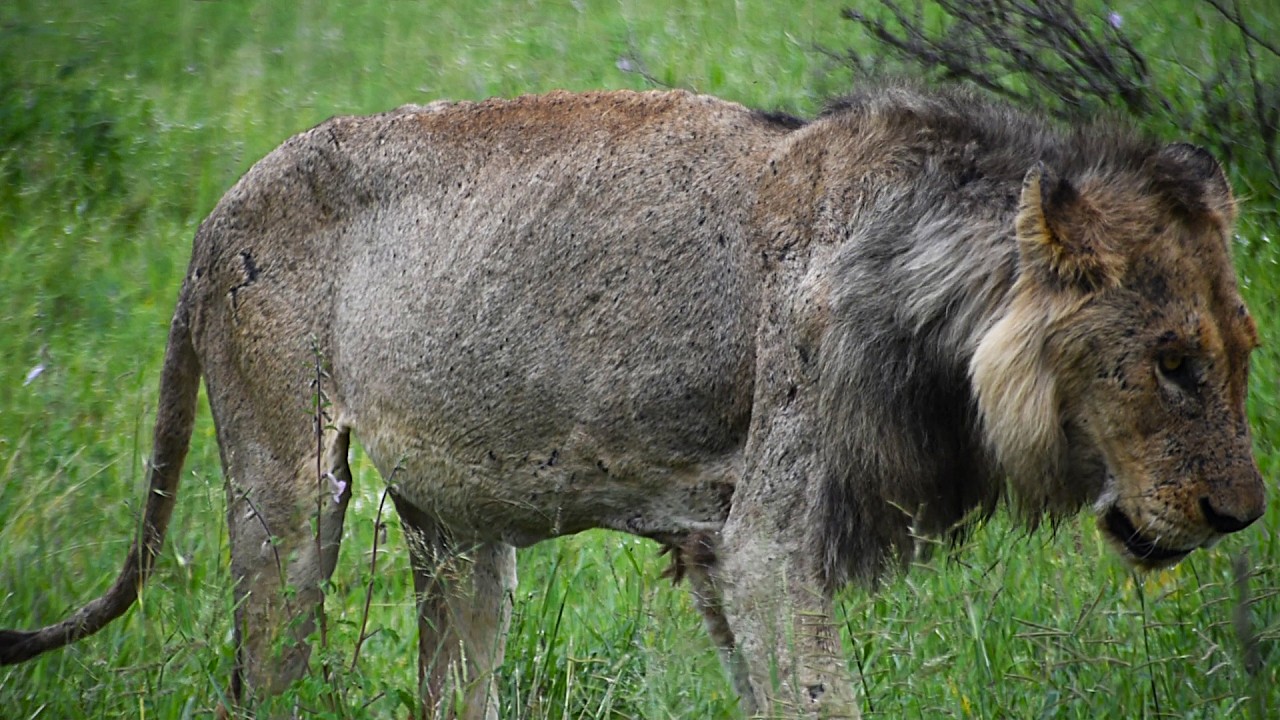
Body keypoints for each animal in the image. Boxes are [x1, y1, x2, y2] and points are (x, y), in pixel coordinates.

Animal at [0, 86, 1265, 719]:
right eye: (1170, 361)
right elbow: (820, 697)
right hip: (285, 489)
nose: (1241, 517)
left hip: (457, 535)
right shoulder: (765, 543)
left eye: (1240, 353)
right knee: (253, 684)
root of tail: (218, 209)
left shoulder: (717, 549)